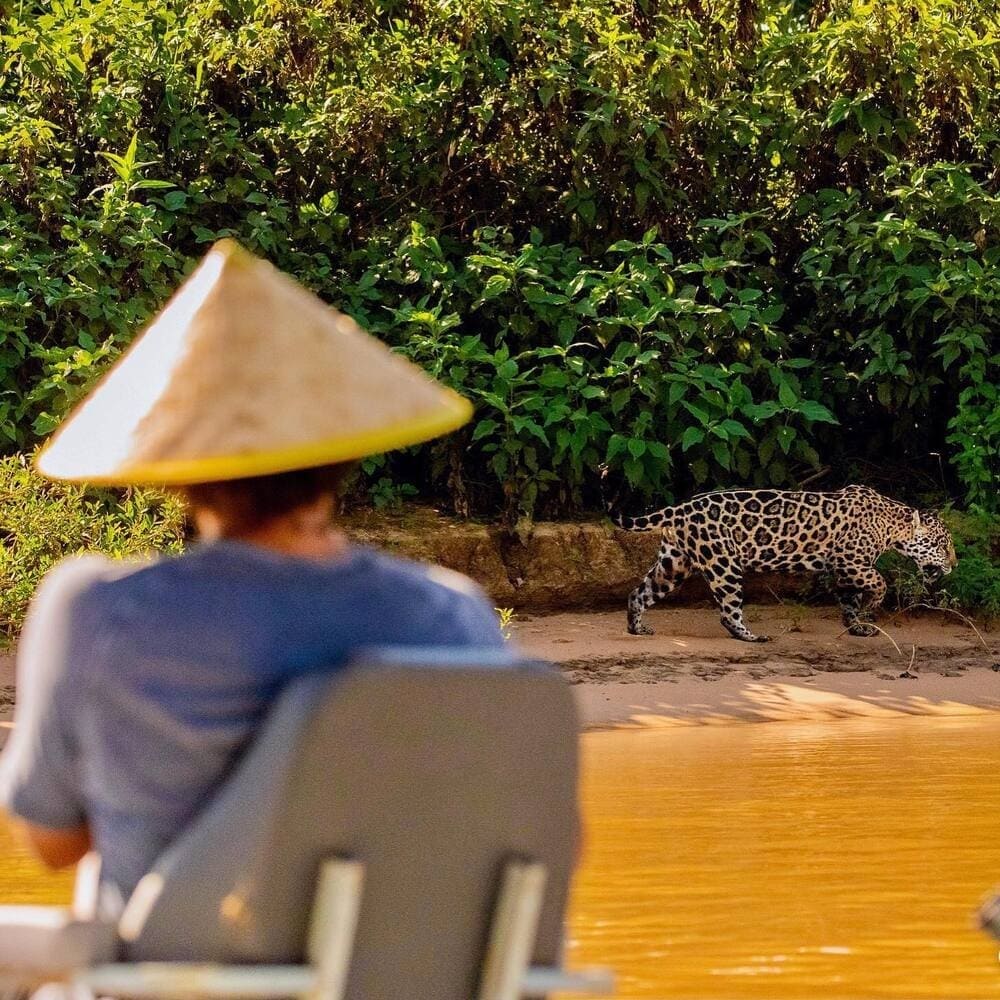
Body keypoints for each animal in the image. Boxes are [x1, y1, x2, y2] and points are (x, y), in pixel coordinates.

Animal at [600, 469, 957, 642]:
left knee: (640, 592)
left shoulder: (846, 570)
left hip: (675, 562)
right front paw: (871, 610)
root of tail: (680, 507)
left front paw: (857, 625)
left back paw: (637, 628)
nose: (954, 564)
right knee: (728, 611)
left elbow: (849, 600)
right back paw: (751, 637)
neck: (893, 523)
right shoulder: (851, 561)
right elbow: (879, 583)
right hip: (723, 564)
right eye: (942, 544)